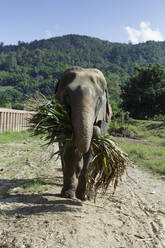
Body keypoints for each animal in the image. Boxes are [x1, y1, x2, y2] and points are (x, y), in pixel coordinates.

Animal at [54, 67, 111, 201]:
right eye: (67, 95)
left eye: (99, 100)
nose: (96, 126)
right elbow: (68, 150)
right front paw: (68, 195)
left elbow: (92, 153)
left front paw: (84, 196)